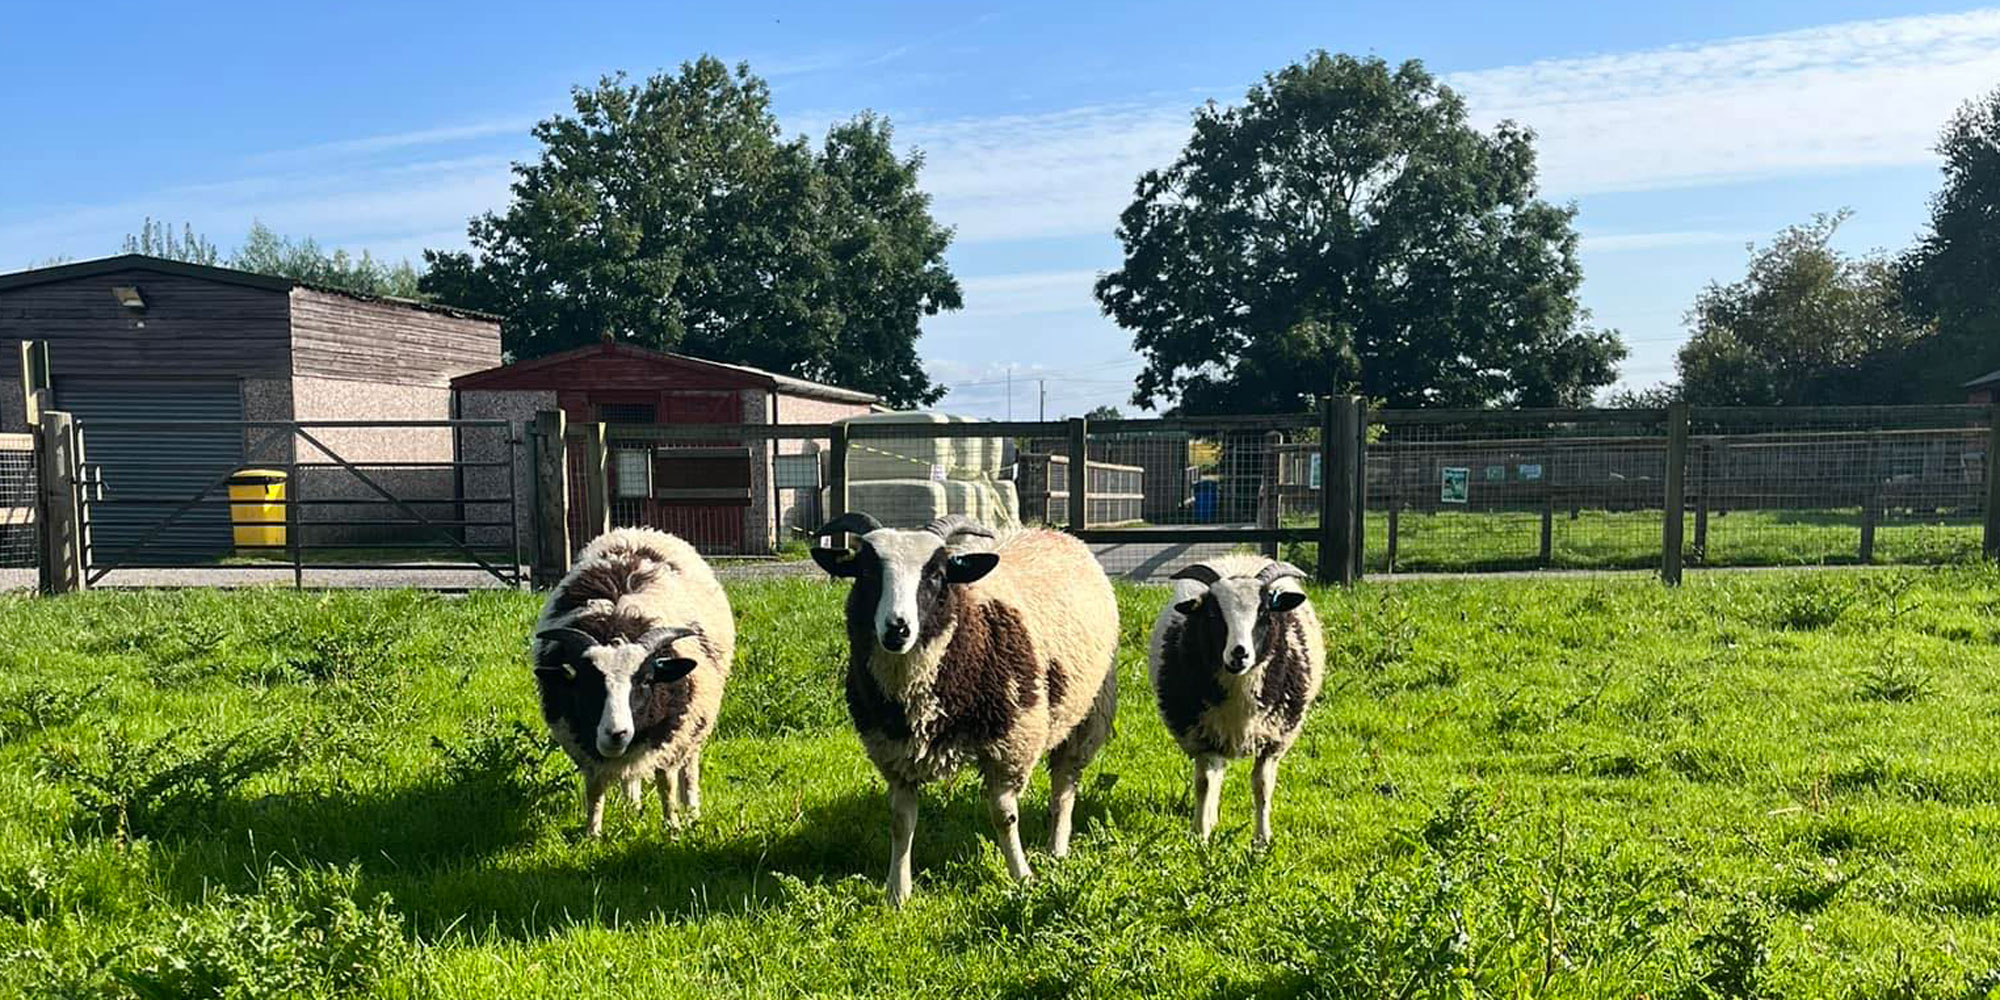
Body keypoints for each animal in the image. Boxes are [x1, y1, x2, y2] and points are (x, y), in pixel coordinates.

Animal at [531, 527, 734, 837]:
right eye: (585, 683)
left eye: (647, 680)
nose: (617, 733)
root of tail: (635, 530)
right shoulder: (584, 746)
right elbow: (595, 789)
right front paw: (592, 834)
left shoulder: (671, 737)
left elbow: (666, 784)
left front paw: (672, 828)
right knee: (630, 777)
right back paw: (632, 806)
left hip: (696, 723)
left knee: (689, 769)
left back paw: (691, 813)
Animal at [811, 512, 1120, 905]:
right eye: (866, 572)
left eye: (937, 574)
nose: (897, 629)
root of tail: (1050, 530)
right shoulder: (895, 756)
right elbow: (900, 822)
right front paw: (898, 892)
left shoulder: (1011, 744)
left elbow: (1004, 817)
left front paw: (1022, 877)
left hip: (1088, 713)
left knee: (1064, 784)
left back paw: (1057, 848)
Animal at [1148, 555, 1323, 848]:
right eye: (1212, 614)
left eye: (1264, 612)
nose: (1239, 653)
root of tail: (1238, 558)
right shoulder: (1201, 737)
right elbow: (1204, 784)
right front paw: (1200, 835)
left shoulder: (1273, 740)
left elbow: (1262, 787)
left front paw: (1262, 840)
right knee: (1215, 774)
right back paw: (1210, 819)